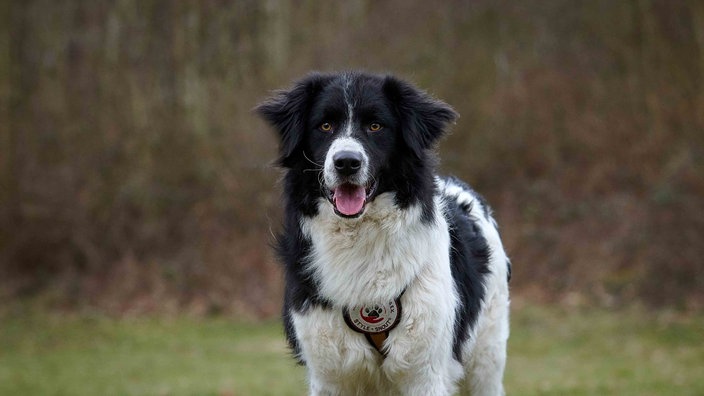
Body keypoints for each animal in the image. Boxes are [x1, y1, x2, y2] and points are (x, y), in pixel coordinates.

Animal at [256, 72, 508, 396]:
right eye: (325, 125)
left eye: (375, 126)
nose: (346, 162)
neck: (358, 234)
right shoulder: (330, 374)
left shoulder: (424, 372)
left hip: (486, 358)